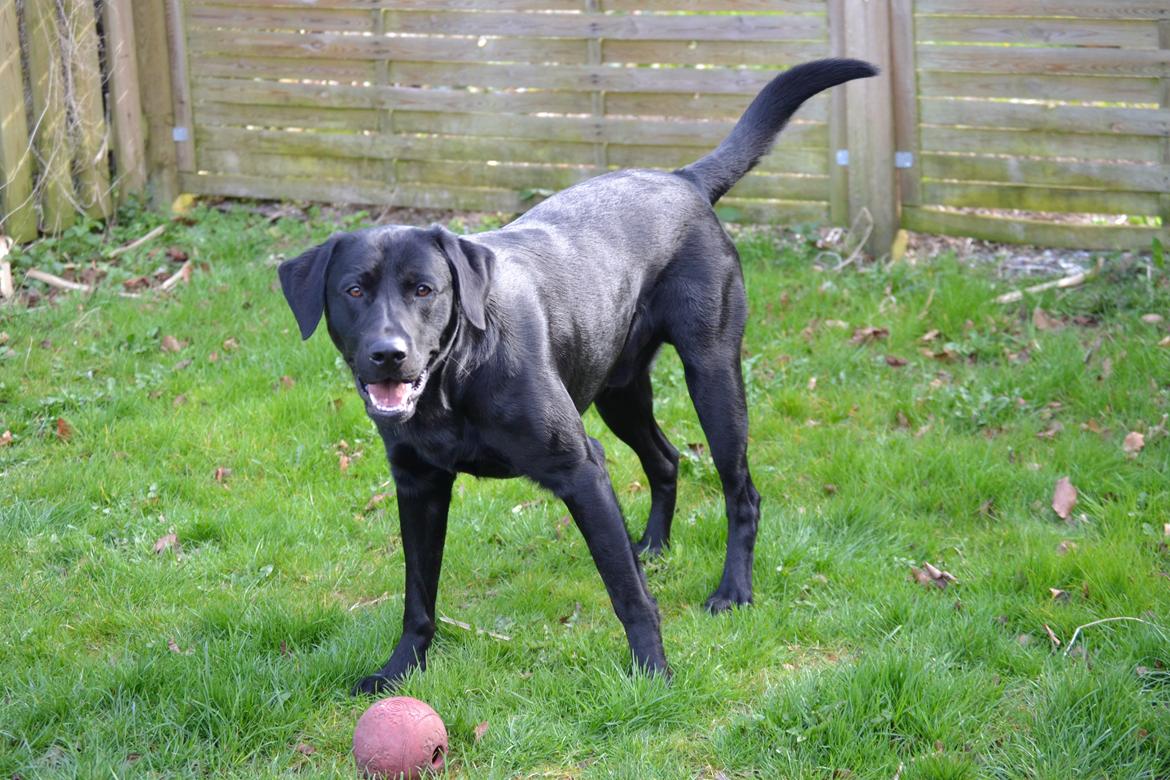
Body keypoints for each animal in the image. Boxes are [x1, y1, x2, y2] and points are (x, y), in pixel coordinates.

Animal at [278, 61, 875, 696]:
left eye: (424, 289)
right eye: (354, 290)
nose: (388, 355)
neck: (456, 380)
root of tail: (683, 180)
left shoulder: (581, 468)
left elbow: (628, 593)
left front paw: (653, 672)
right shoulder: (418, 484)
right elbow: (418, 596)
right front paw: (399, 671)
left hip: (712, 374)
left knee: (742, 492)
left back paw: (733, 590)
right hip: (619, 392)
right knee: (666, 459)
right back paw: (653, 546)